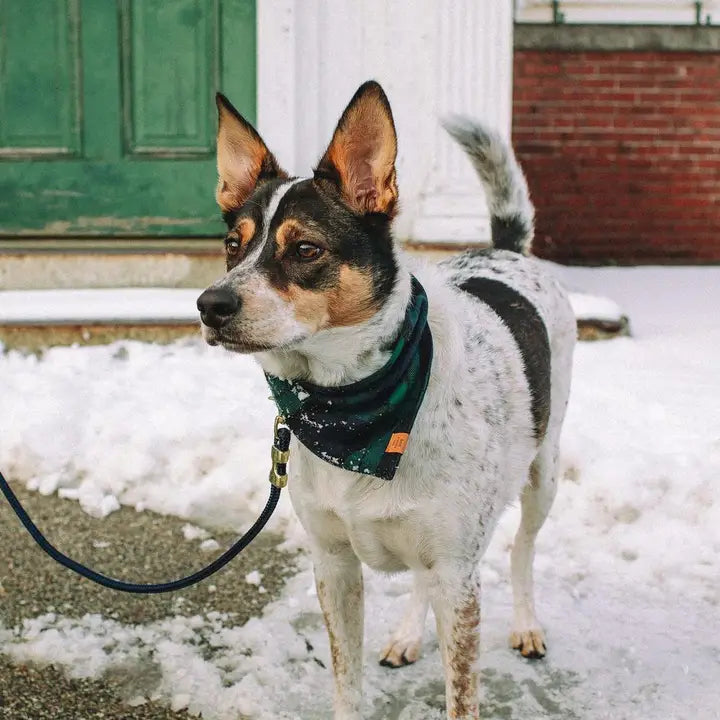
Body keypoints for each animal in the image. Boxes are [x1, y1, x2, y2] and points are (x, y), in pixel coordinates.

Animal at [195, 81, 572, 716]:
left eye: (306, 249)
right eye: (232, 245)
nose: (209, 306)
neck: (350, 408)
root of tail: (506, 250)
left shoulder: (457, 575)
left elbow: (461, 695)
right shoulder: (334, 564)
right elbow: (346, 682)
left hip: (542, 474)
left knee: (523, 550)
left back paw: (527, 624)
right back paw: (406, 635)